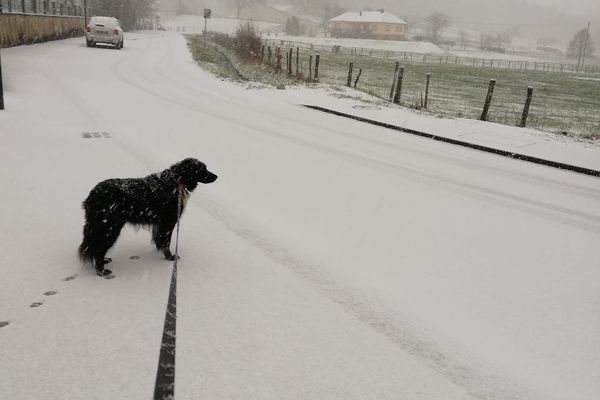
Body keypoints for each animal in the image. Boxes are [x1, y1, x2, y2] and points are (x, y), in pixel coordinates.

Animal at [78, 158, 217, 276]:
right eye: (203, 169)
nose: (216, 176)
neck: (177, 180)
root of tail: (92, 196)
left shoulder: (159, 223)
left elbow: (159, 239)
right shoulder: (169, 222)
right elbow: (166, 242)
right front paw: (170, 257)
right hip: (109, 229)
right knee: (99, 249)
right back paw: (101, 271)